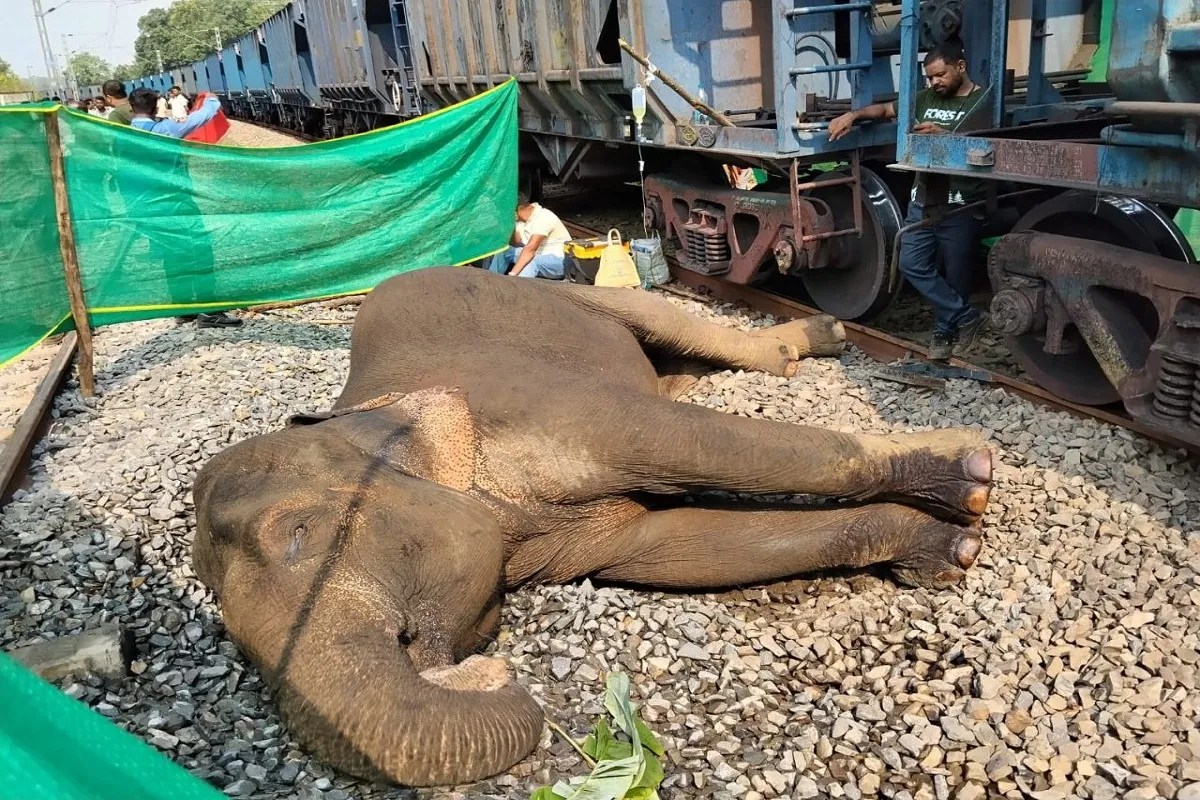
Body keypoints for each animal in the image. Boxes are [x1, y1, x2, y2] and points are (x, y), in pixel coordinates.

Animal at [192, 266, 992, 788]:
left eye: (298, 531)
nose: (485, 671)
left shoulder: (546, 404)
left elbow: (693, 445)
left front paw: (973, 475)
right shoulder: (578, 541)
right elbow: (673, 547)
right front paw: (946, 547)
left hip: (578, 295)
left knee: (687, 329)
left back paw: (819, 339)